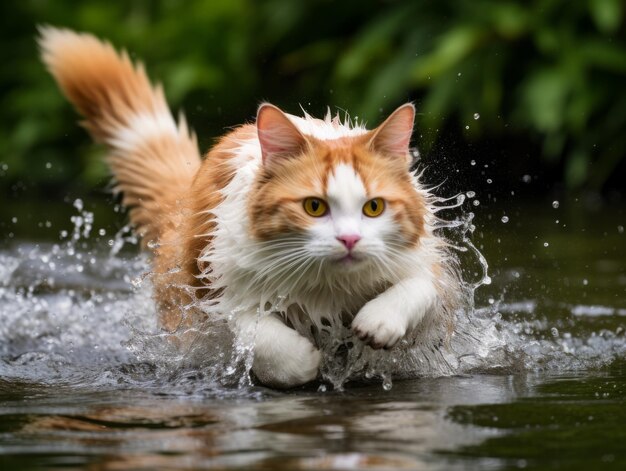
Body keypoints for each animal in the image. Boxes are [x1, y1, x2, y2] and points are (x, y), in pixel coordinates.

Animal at [37, 25, 458, 390]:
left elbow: (416, 288)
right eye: (314, 206)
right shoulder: (216, 285)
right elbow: (260, 334)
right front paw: (304, 362)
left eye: (373, 208)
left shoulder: (429, 267)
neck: (329, 289)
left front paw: (378, 321)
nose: (350, 239)